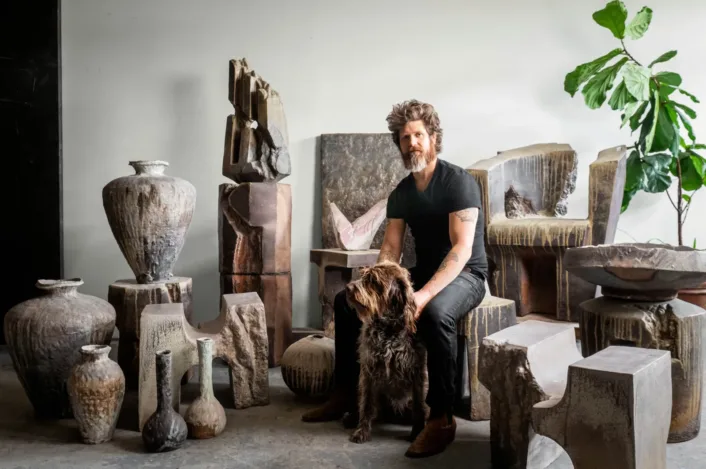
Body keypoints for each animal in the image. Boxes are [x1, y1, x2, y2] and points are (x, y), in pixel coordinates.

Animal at [344, 260, 426, 442]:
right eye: (363, 276)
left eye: (373, 281)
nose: (348, 287)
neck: (387, 329)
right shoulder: (368, 370)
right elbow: (366, 403)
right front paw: (362, 431)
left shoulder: (417, 372)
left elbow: (419, 407)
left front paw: (417, 433)